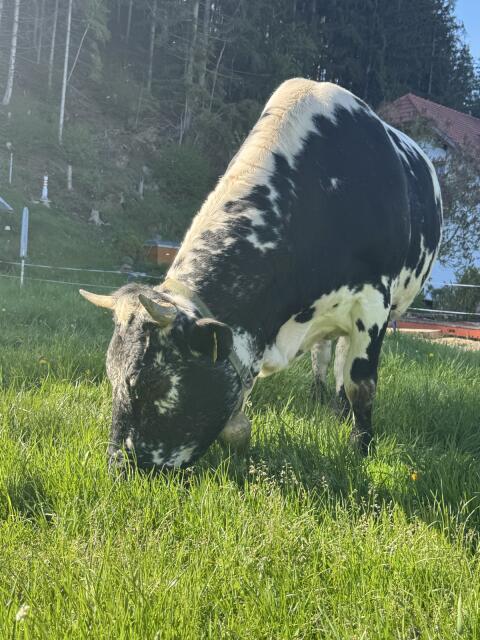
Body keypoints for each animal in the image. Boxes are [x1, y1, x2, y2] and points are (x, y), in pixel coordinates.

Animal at [80, 78, 442, 471]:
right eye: (111, 375)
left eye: (152, 383)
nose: (119, 466)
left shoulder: (373, 303)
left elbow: (361, 385)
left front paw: (361, 449)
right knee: (325, 356)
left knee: (343, 362)